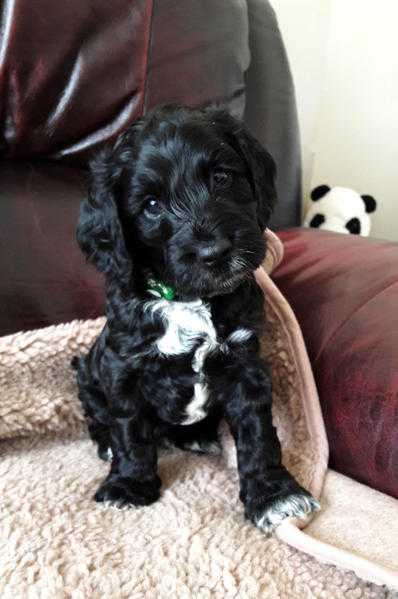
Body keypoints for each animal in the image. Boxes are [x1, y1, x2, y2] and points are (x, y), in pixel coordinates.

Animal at [73, 105, 318, 532]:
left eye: (221, 178)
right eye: (151, 206)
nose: (215, 252)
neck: (189, 300)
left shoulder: (244, 364)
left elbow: (257, 433)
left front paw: (274, 495)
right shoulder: (123, 368)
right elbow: (130, 431)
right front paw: (128, 485)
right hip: (87, 371)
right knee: (99, 415)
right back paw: (106, 445)